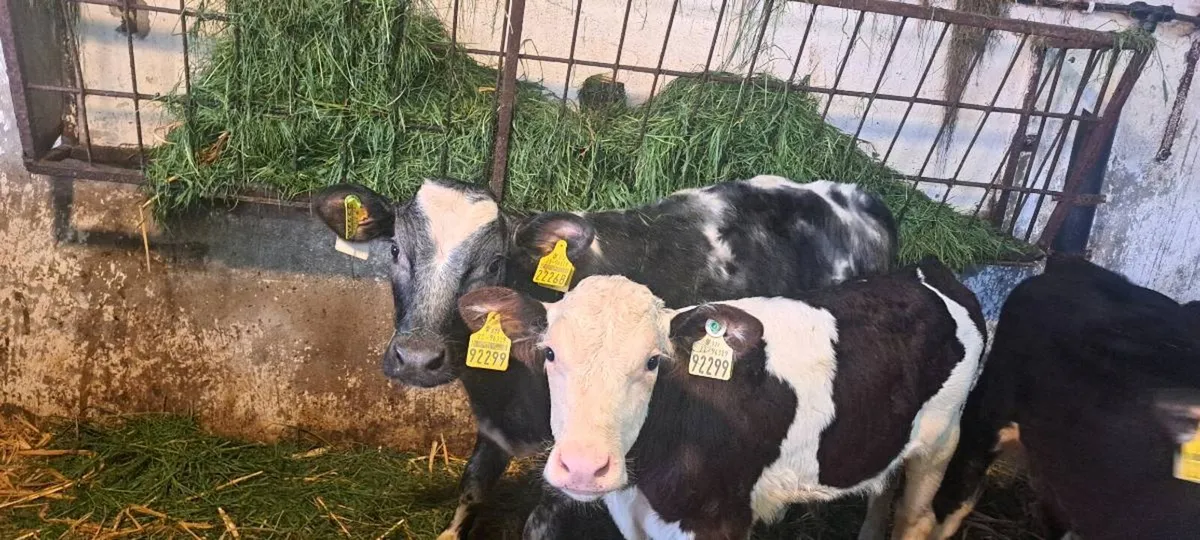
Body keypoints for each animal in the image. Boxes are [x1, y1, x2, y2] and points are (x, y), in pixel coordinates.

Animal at [311, 175, 897, 538]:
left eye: (494, 263)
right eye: (394, 250)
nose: (417, 358)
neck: (506, 391)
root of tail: (860, 196)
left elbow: (539, 526)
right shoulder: (493, 430)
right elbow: (471, 489)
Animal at [457, 257, 986, 539]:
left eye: (654, 361)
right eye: (549, 352)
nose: (585, 468)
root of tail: (927, 271)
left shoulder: (720, 521)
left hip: (943, 438)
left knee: (917, 518)